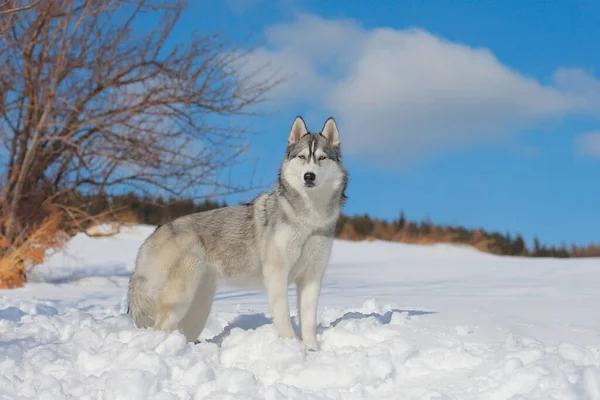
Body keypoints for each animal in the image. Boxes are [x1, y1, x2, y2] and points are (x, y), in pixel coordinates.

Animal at [129, 115, 350, 350]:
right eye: (302, 157)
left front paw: (312, 349)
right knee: (160, 328)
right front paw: (291, 345)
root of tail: (155, 234)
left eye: (322, 158)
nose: (309, 176)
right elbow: (283, 314)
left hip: (198, 307)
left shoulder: (312, 277)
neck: (309, 218)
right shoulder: (276, 272)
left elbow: (308, 321)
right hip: (180, 298)